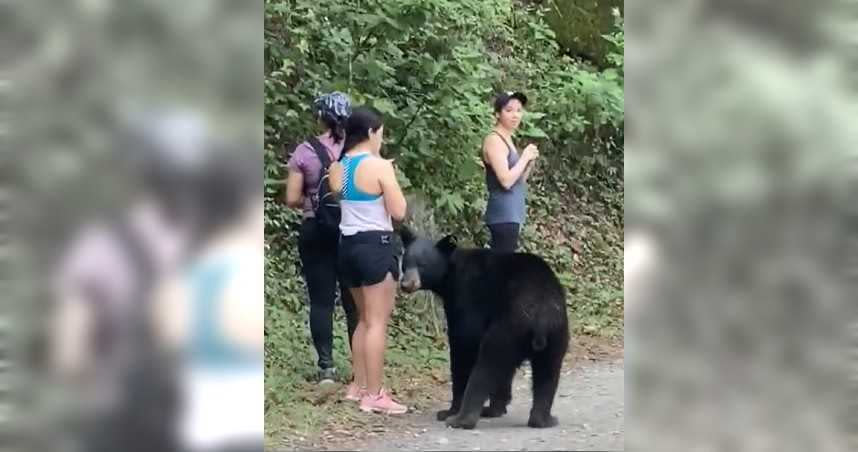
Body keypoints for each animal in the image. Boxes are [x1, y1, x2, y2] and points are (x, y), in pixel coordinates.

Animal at [398, 228, 572, 430]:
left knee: (486, 367)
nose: (406, 284)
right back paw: (543, 419)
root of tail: (540, 313)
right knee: (548, 372)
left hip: (509, 327)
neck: (450, 276)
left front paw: (449, 411)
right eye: (405, 263)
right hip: (557, 333)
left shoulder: (467, 300)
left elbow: (463, 348)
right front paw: (497, 407)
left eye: (423, 265)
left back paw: (461, 419)